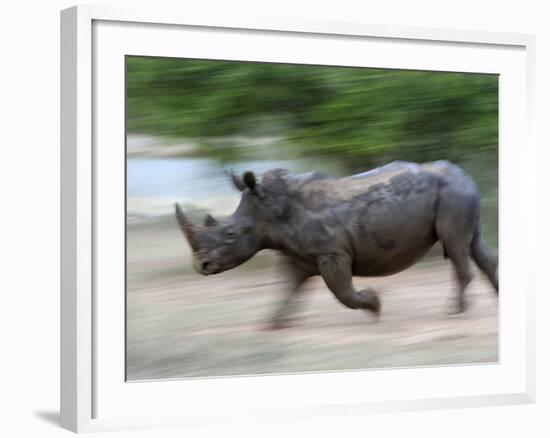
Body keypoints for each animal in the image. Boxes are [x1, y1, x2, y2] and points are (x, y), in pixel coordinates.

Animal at [176, 159, 500, 326]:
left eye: (230, 235)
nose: (201, 265)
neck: (268, 210)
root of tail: (466, 175)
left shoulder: (331, 252)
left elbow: (342, 292)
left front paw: (375, 305)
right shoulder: (296, 255)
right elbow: (286, 288)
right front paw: (273, 324)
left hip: (453, 195)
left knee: (456, 246)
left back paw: (455, 312)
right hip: (458, 193)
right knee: (474, 245)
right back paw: (497, 300)